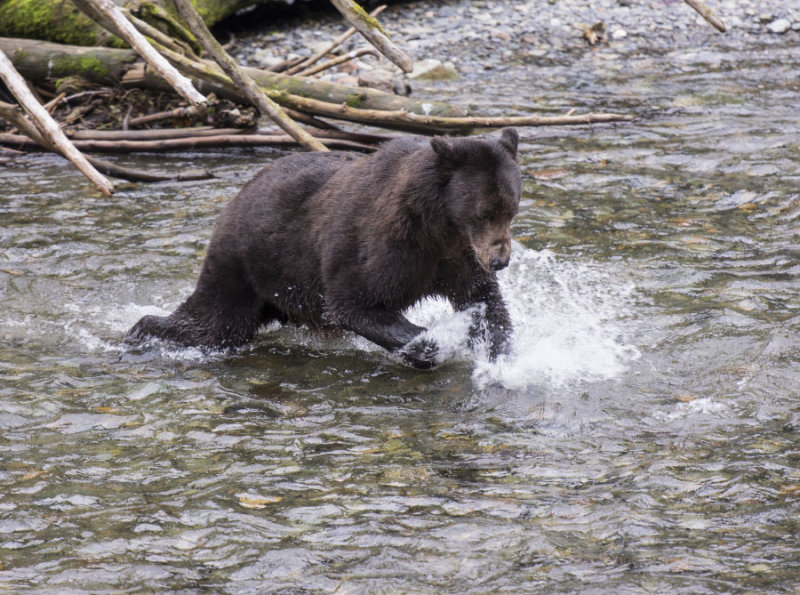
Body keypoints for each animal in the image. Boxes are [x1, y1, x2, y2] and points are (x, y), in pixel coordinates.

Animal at [127, 129, 520, 368]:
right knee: (215, 323)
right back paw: (141, 330)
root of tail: (237, 196)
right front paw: (428, 344)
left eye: (511, 208)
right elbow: (353, 302)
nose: (500, 260)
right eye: (484, 211)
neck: (438, 226)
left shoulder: (455, 257)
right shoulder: (381, 246)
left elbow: (483, 299)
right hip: (244, 263)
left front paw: (502, 355)